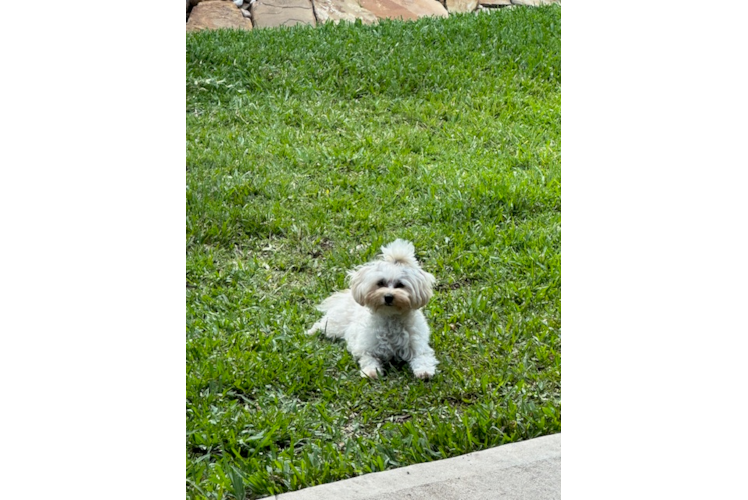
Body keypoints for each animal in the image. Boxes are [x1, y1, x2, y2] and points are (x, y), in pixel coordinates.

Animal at [308, 239, 438, 378]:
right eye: (380, 283)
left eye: (400, 285)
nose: (388, 296)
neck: (390, 317)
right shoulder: (365, 346)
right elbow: (368, 358)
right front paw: (371, 371)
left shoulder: (418, 344)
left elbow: (422, 357)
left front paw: (424, 371)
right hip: (335, 325)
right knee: (321, 324)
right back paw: (311, 332)